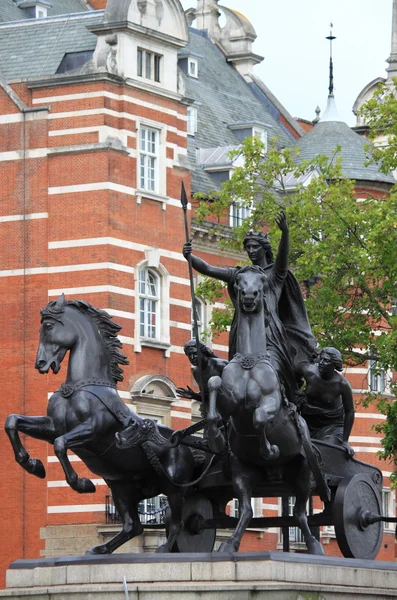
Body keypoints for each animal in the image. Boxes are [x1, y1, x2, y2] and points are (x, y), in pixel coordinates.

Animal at [3, 294, 195, 552]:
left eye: (49, 326)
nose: (40, 363)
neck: (80, 386)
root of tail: (184, 442)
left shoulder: (92, 431)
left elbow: (61, 445)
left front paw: (82, 483)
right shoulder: (53, 427)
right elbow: (13, 421)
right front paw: (33, 465)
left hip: (173, 487)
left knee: (176, 523)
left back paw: (163, 549)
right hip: (121, 486)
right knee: (133, 525)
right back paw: (101, 549)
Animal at [207, 264, 324, 556]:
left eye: (261, 281)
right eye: (238, 281)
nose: (249, 296)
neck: (250, 362)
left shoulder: (272, 401)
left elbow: (259, 417)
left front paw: (269, 449)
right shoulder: (229, 400)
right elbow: (213, 385)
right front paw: (214, 436)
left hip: (302, 473)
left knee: (301, 514)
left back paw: (314, 546)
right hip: (242, 473)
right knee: (247, 510)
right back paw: (230, 544)